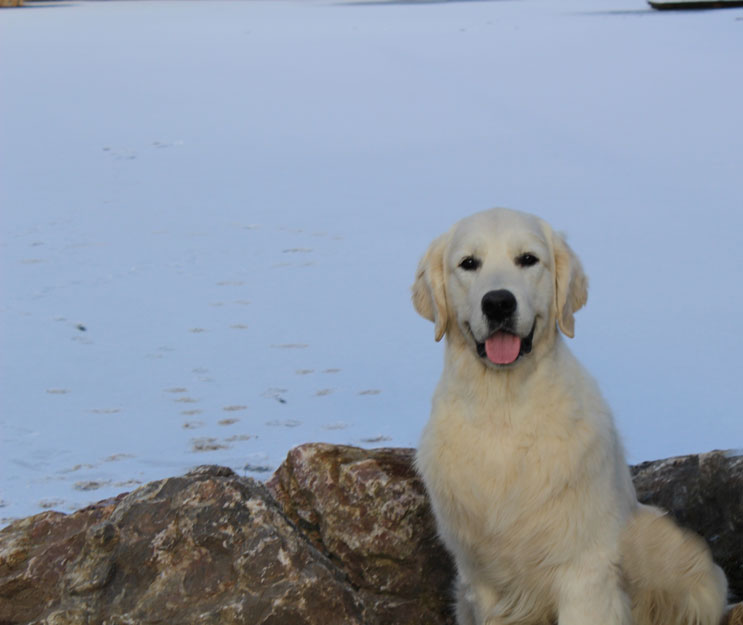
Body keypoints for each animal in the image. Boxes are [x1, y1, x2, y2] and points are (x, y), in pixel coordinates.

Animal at [416, 208, 728, 624]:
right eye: (468, 263)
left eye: (528, 259)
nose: (498, 303)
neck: (505, 411)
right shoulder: (481, 581)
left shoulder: (584, 570)